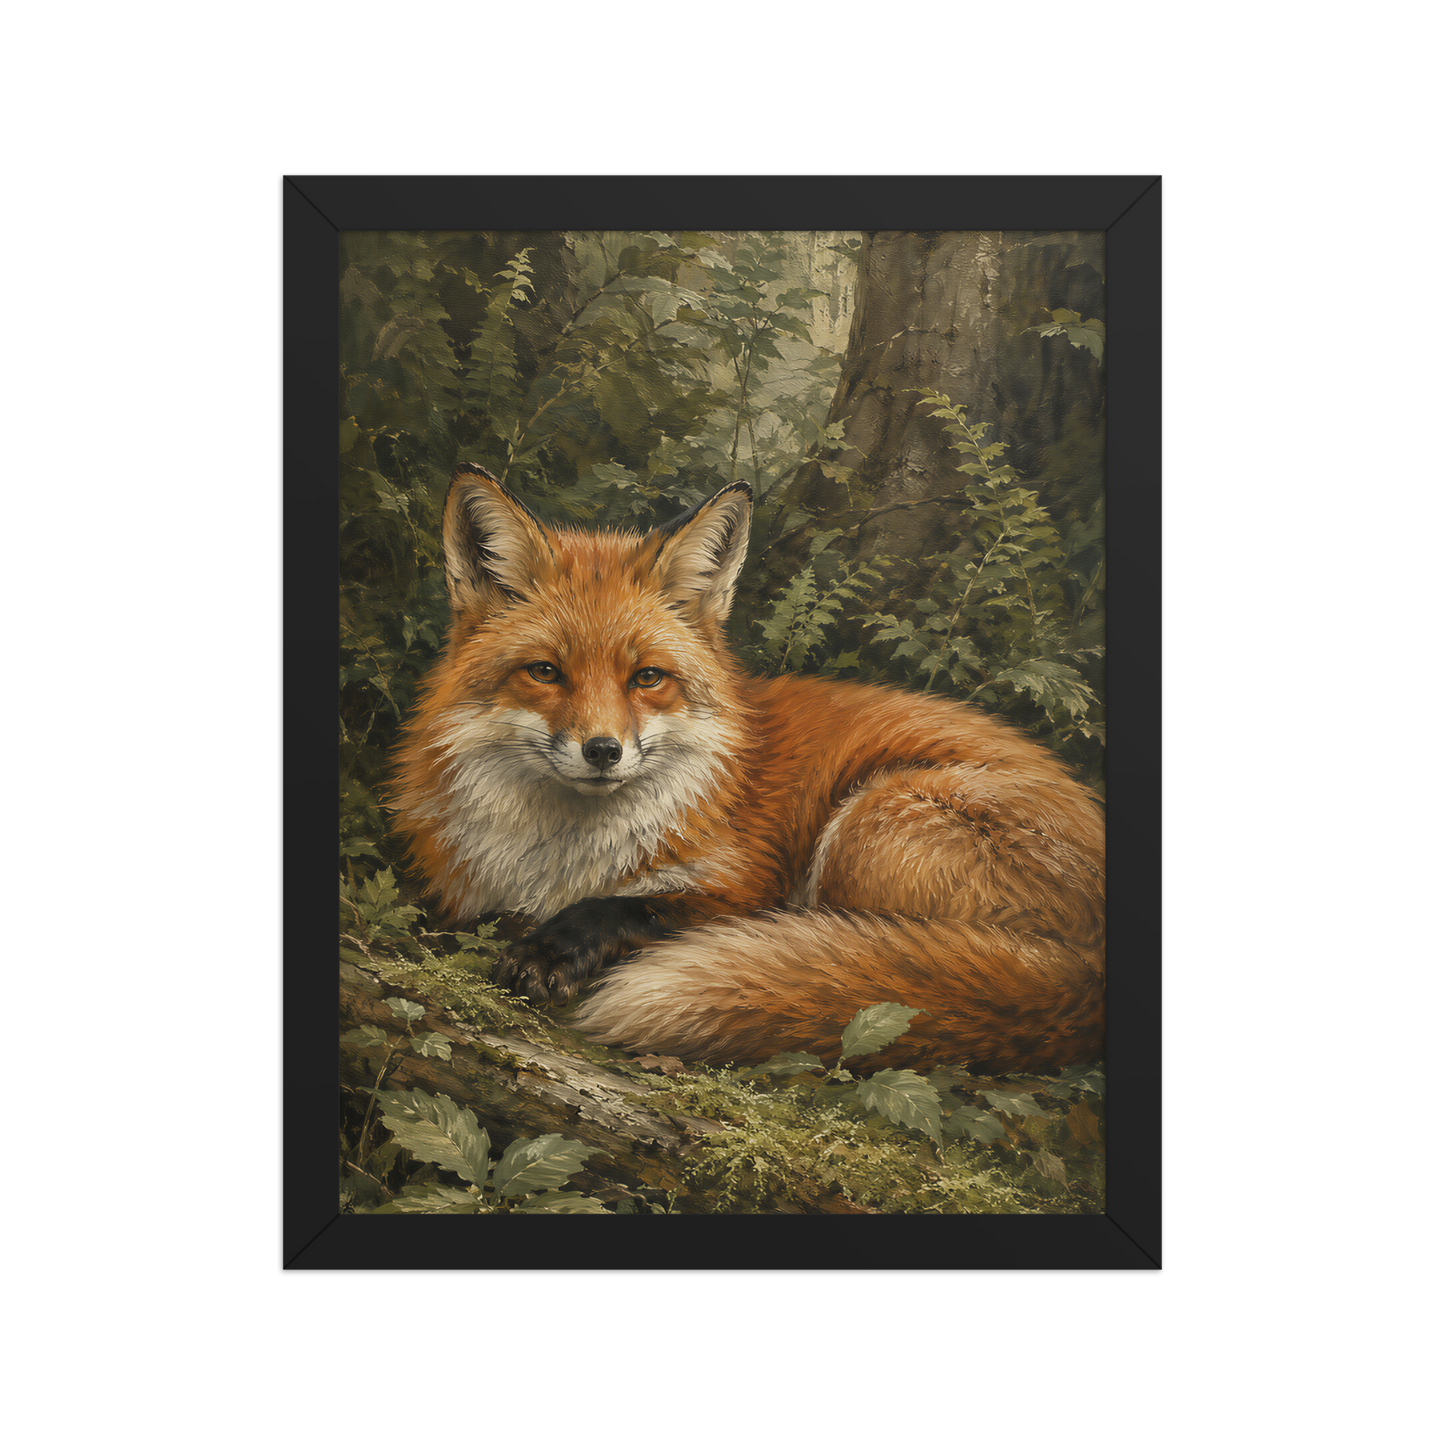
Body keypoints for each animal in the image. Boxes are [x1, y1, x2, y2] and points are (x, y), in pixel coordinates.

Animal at [390, 462, 1104, 1076]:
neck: (559, 859)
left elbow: (637, 909)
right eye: (545, 672)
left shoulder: (744, 891)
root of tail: (1090, 977)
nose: (603, 751)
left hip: (868, 823)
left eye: (647, 678)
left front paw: (552, 948)